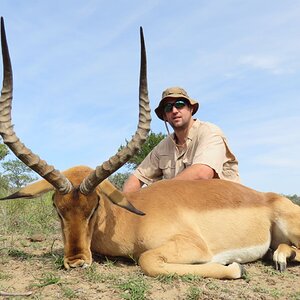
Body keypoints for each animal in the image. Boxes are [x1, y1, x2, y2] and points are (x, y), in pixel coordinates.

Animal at [0, 17, 300, 278]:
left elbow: (148, 261)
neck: (130, 220)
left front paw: (236, 267)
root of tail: (268, 198)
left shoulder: (192, 247)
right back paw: (279, 257)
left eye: (94, 206)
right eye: (57, 207)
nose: (76, 262)